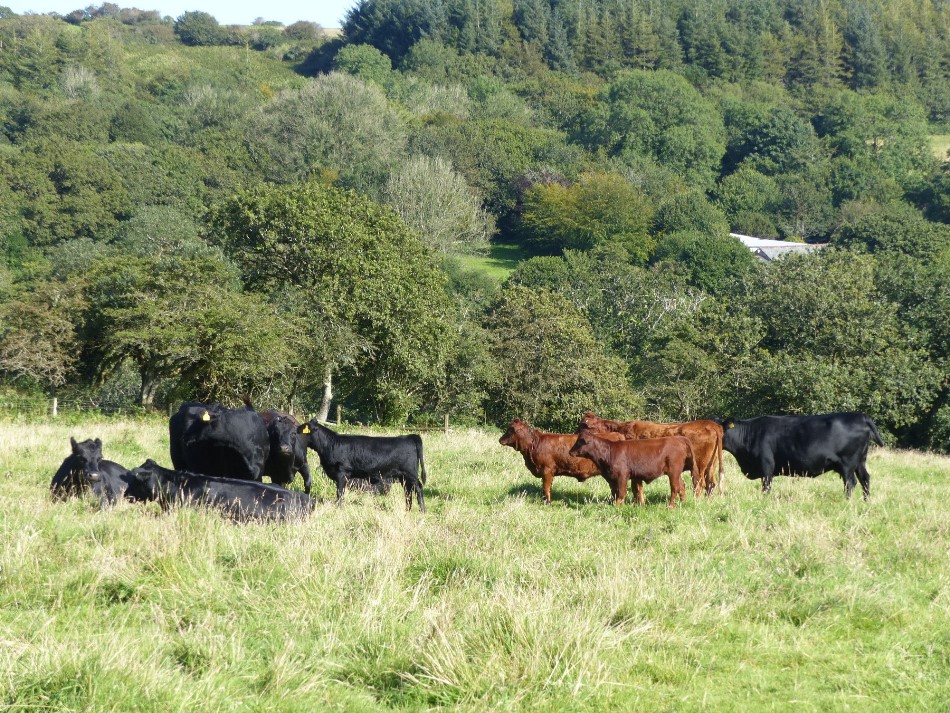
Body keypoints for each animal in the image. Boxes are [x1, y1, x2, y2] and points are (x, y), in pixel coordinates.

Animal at [298, 418, 428, 512]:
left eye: (300, 430)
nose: (295, 432)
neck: (331, 445)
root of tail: (410, 436)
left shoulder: (342, 473)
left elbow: (340, 492)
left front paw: (338, 508)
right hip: (403, 477)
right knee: (408, 491)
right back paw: (408, 510)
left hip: (410, 473)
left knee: (418, 488)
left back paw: (422, 510)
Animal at [564, 422, 692, 506]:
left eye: (580, 441)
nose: (570, 452)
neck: (609, 452)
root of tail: (679, 439)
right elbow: (616, 493)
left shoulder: (622, 476)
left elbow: (621, 493)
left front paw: (618, 507)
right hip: (676, 473)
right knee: (682, 486)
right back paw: (683, 503)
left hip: (673, 472)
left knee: (675, 488)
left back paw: (670, 506)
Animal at [576, 412, 724, 496]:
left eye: (582, 425)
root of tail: (711, 424)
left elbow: (636, 489)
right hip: (710, 467)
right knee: (711, 484)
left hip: (698, 467)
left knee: (699, 484)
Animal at [716, 408, 888, 498]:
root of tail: (860, 415)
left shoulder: (766, 466)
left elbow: (766, 487)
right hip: (860, 462)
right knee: (865, 479)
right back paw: (865, 502)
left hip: (848, 463)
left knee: (850, 483)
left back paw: (848, 502)